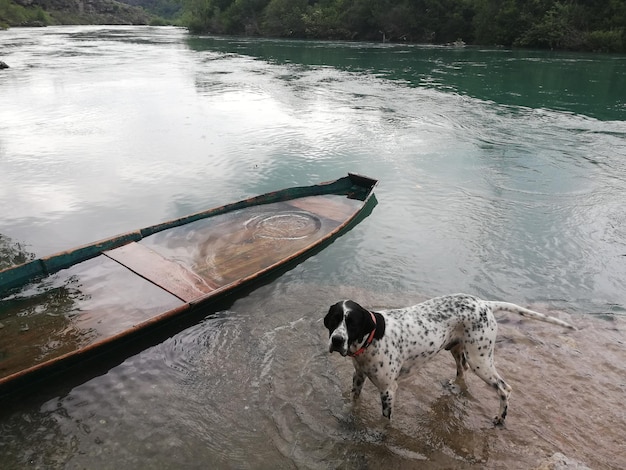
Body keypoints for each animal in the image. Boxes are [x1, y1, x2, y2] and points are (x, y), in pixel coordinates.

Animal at [324, 294, 572, 426]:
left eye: (352, 323)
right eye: (334, 320)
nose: (336, 340)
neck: (372, 338)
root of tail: (484, 303)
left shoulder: (388, 390)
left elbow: (385, 421)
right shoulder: (358, 377)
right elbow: (353, 403)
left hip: (480, 360)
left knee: (505, 388)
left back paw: (500, 418)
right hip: (458, 351)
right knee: (462, 371)